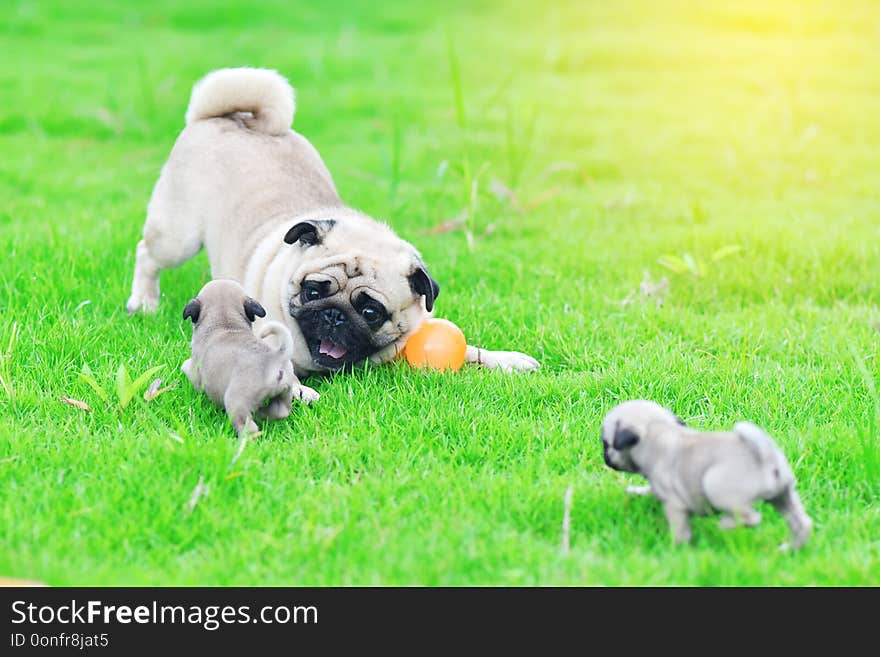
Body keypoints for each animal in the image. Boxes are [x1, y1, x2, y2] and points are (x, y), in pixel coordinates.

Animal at [123, 66, 536, 376]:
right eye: (313, 292)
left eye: (370, 312)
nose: (334, 316)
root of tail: (226, 117)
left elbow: (471, 352)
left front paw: (507, 360)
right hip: (177, 236)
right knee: (147, 254)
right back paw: (143, 302)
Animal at [180, 278, 318, 436]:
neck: (225, 322)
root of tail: (276, 357)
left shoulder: (195, 371)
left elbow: (187, 368)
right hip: (285, 392)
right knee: (280, 411)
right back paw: (262, 412)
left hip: (236, 401)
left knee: (248, 426)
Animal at [604, 400, 812, 548]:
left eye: (606, 444)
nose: (605, 458)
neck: (659, 431)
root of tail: (765, 457)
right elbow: (649, 490)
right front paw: (635, 491)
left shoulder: (674, 503)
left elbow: (680, 528)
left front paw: (676, 548)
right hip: (783, 495)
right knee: (801, 522)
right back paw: (790, 548)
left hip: (717, 489)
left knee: (751, 517)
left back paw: (725, 524)